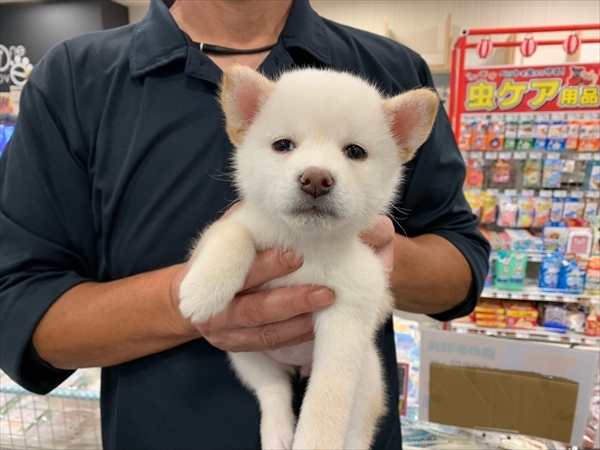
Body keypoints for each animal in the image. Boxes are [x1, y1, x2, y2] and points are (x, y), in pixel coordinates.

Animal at [179, 66, 438, 449]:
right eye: (283, 145)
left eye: (355, 151)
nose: (316, 178)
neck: (307, 243)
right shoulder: (233, 225)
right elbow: (234, 237)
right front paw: (203, 290)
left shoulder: (348, 315)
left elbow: (326, 402)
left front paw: (315, 439)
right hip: (245, 355)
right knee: (273, 391)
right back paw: (277, 431)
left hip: (366, 377)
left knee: (354, 426)